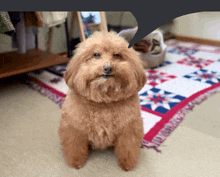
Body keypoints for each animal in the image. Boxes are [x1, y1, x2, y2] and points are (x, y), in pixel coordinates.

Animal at [58, 31, 146, 171]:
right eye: (96, 54)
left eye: (117, 55)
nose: (107, 68)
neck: (104, 101)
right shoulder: (74, 129)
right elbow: (75, 147)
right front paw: (76, 162)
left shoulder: (128, 129)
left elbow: (127, 148)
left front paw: (127, 164)